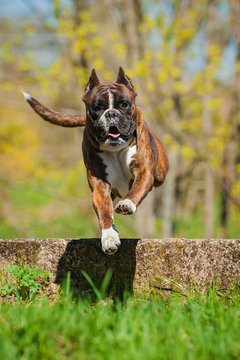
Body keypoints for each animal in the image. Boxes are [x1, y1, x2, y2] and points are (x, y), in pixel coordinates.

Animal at [22, 67, 169, 253]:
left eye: (124, 104)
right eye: (97, 107)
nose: (111, 113)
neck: (115, 148)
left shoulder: (144, 173)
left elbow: (136, 190)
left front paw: (127, 204)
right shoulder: (100, 186)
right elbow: (104, 212)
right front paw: (109, 238)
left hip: (160, 174)